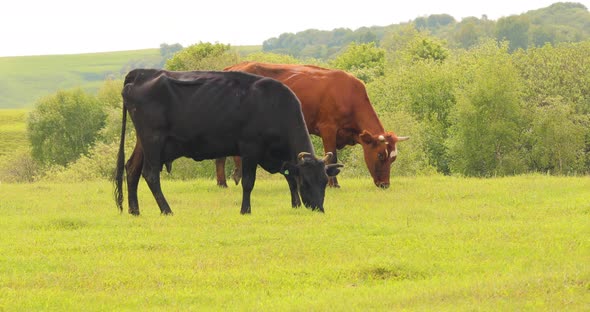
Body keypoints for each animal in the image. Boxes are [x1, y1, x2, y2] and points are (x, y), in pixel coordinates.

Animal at [114, 68, 344, 216]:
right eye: (306, 182)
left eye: (324, 181)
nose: (318, 208)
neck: (274, 105)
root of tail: (141, 73)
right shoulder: (250, 148)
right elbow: (248, 182)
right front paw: (245, 210)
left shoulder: (281, 157)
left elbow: (289, 178)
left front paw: (295, 205)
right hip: (153, 139)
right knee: (150, 174)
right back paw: (166, 209)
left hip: (144, 142)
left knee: (132, 169)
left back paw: (134, 210)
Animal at [219, 61, 412, 188]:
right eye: (380, 155)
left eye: (393, 158)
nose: (385, 184)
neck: (349, 96)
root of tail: (232, 67)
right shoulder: (328, 129)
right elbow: (332, 157)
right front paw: (333, 184)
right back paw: (225, 181)